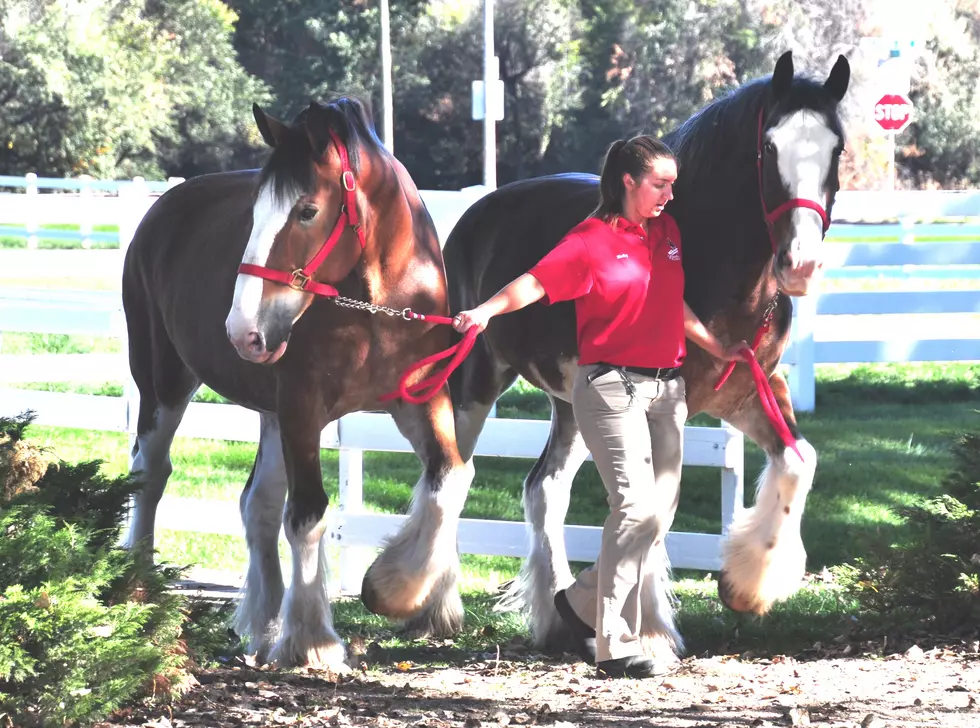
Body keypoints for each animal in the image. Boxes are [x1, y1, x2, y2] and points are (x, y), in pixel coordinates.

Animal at [122, 98, 474, 672]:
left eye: (307, 210)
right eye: (255, 211)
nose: (242, 330)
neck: (378, 302)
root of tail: (163, 207)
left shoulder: (419, 399)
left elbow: (450, 478)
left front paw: (397, 588)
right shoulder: (303, 408)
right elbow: (308, 513)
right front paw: (312, 639)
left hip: (269, 412)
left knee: (257, 505)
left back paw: (264, 624)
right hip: (165, 383)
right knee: (149, 474)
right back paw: (141, 585)